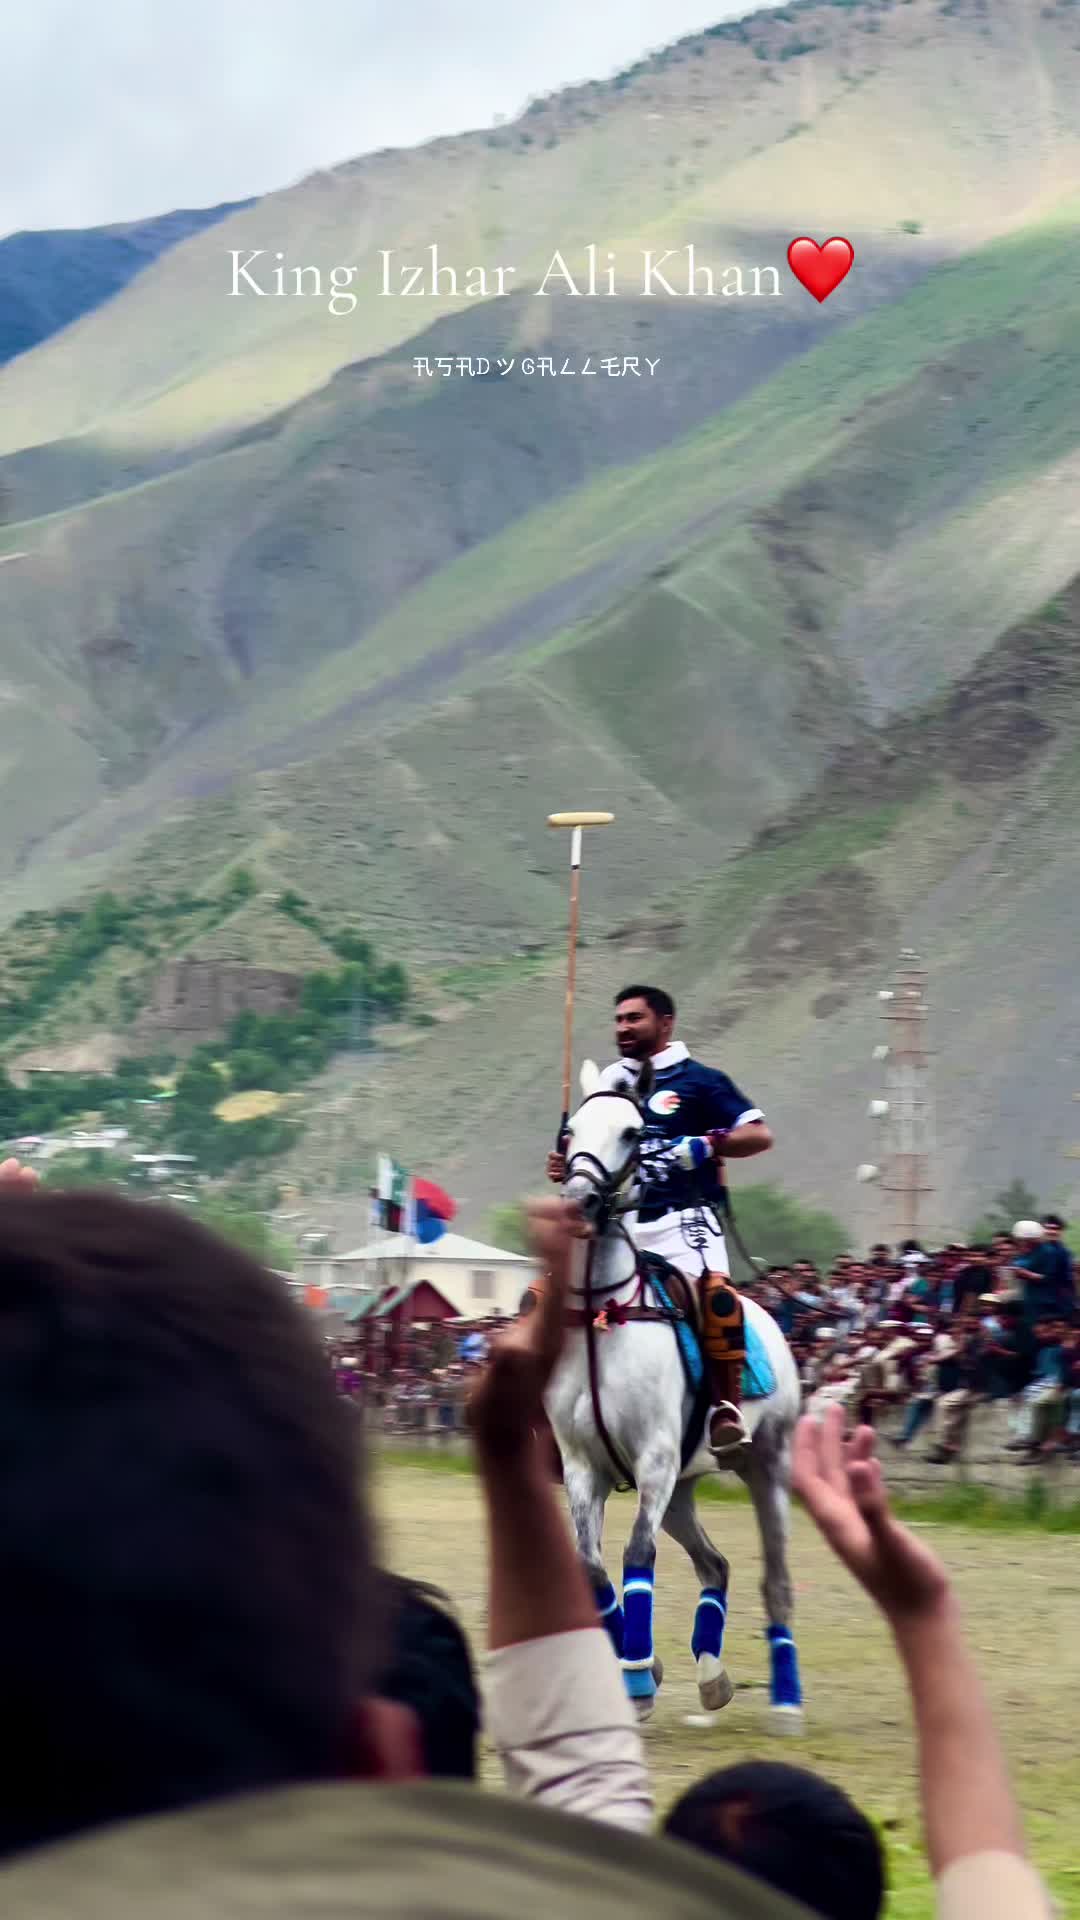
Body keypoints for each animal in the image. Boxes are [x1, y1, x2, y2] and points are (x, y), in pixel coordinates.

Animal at [545, 1057, 805, 1730]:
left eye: (635, 1133)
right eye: (569, 1133)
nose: (579, 1200)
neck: (604, 1314)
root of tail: (774, 1321)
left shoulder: (655, 1457)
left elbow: (637, 1556)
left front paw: (637, 1679)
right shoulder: (583, 1465)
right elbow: (591, 1570)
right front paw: (642, 1668)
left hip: (767, 1462)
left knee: (776, 1578)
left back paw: (787, 1699)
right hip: (684, 1488)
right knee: (715, 1563)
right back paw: (711, 1675)